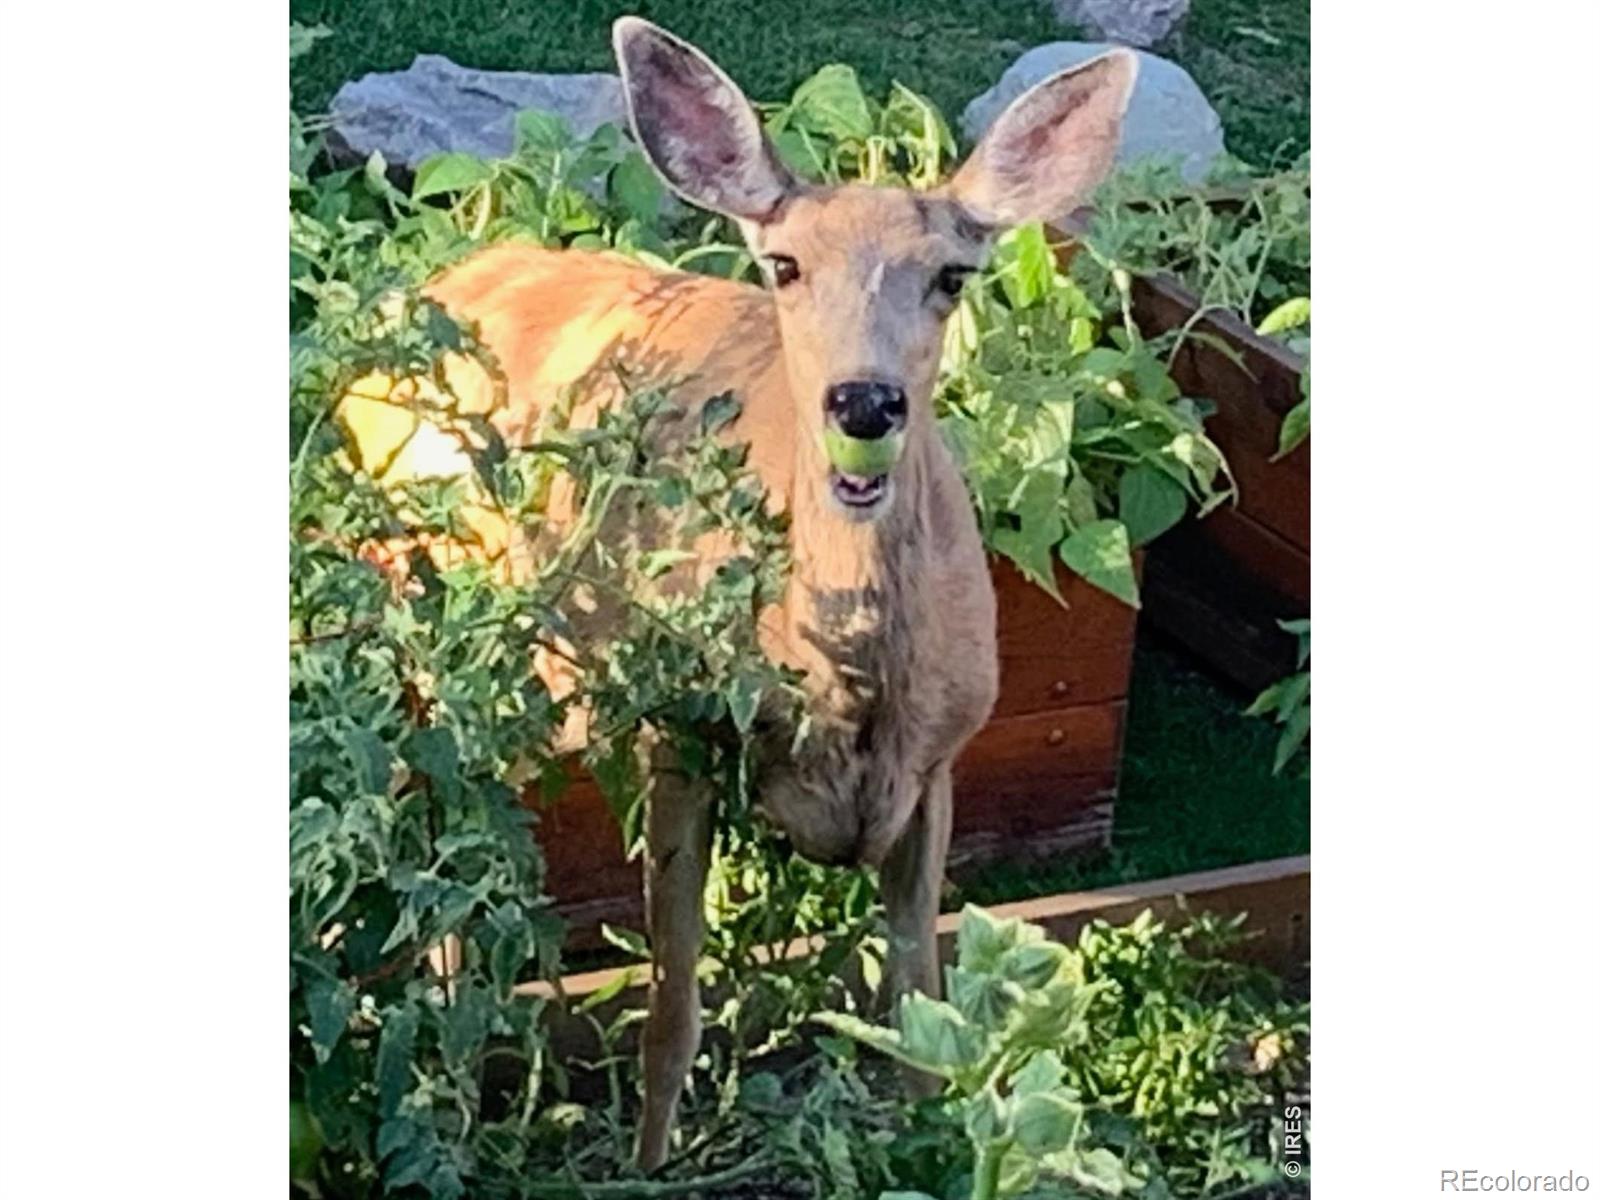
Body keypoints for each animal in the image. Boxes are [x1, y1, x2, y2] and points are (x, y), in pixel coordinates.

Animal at [336, 18, 1136, 1170]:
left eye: (952, 274)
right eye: (785, 265)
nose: (864, 402)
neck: (845, 694)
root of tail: (430, 288)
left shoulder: (943, 761)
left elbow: (920, 1010)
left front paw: (924, 1148)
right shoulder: (677, 722)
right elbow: (673, 1004)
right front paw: (644, 1167)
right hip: (427, 627)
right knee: (441, 834)